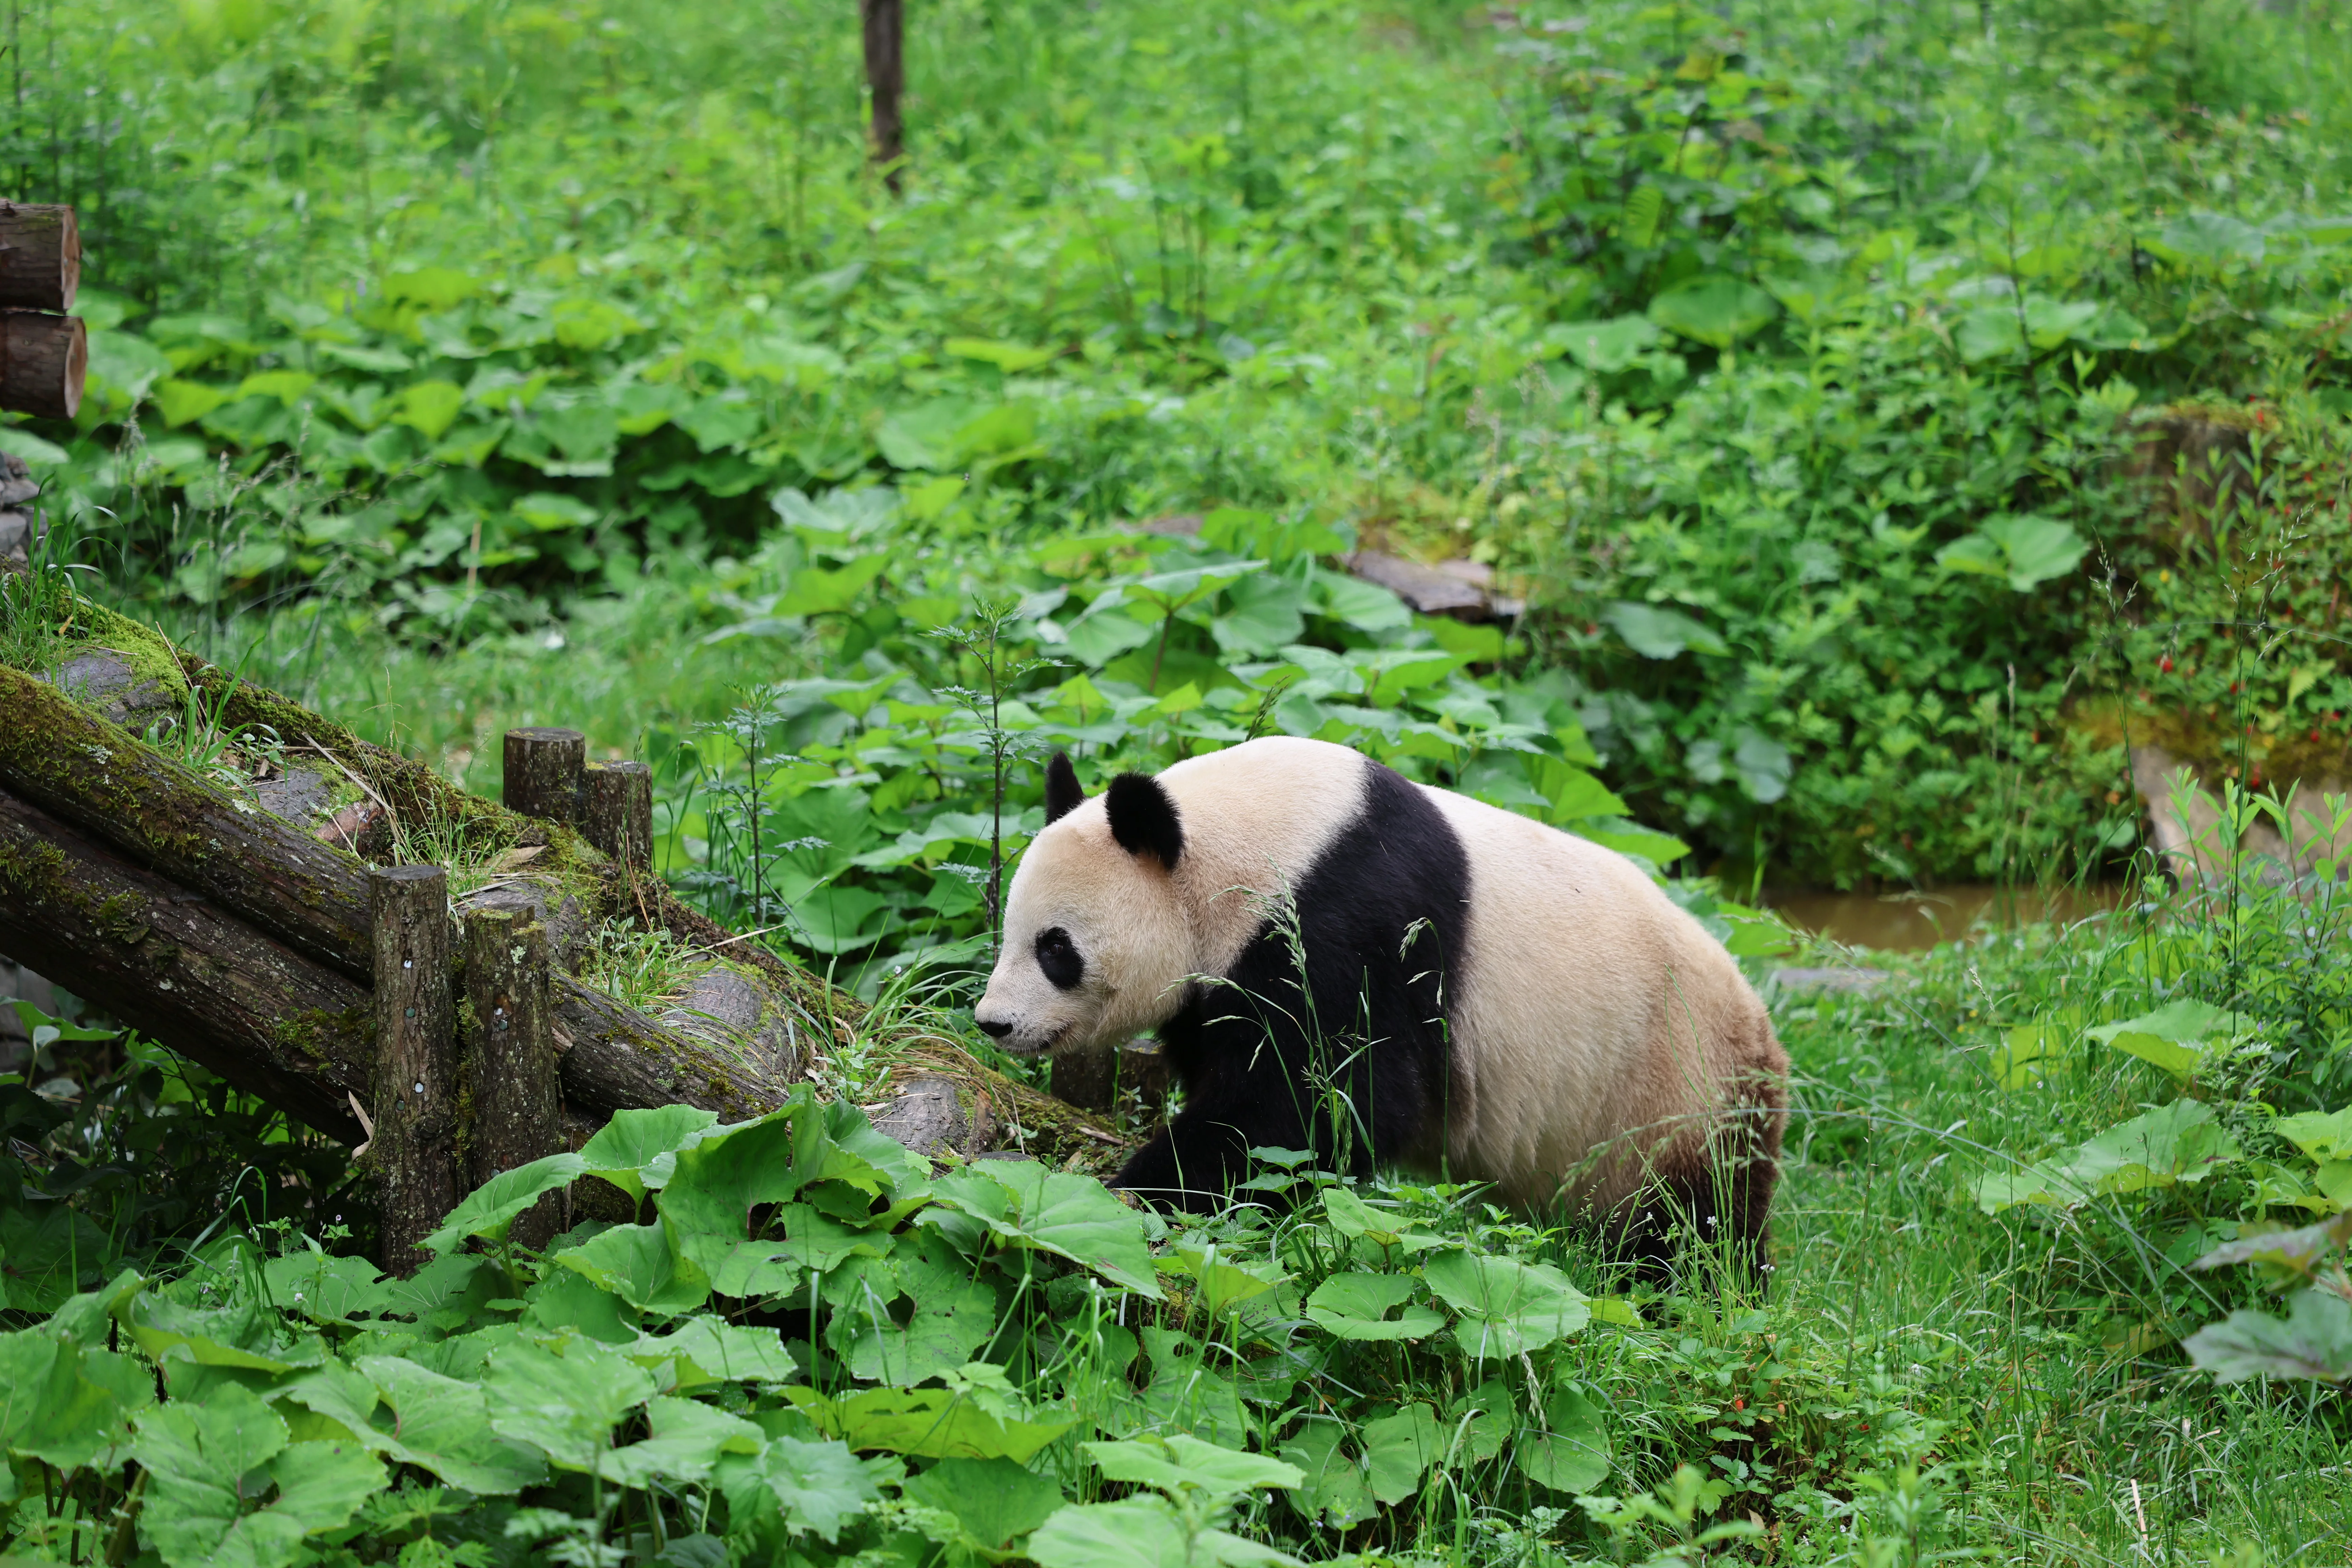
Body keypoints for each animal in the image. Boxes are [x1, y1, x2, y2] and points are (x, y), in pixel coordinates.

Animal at [972, 736, 1790, 1280]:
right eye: (1010, 931)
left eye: (1056, 948)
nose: (994, 1022)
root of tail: (1763, 1028)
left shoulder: (1350, 924)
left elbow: (1319, 1103)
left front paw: (1136, 1193)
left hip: (1673, 1083)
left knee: (1689, 1220)